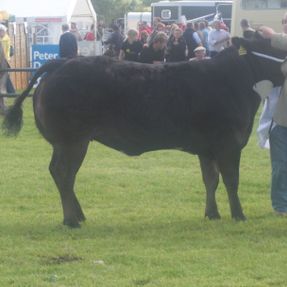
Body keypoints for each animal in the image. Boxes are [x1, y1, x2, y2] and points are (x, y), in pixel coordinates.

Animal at [2, 37, 287, 228]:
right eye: (277, 46)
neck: (235, 80)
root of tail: (60, 64)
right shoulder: (229, 143)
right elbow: (231, 180)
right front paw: (239, 215)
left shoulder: (207, 148)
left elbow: (211, 180)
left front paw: (212, 214)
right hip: (72, 141)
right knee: (63, 173)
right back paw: (72, 220)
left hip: (67, 142)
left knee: (61, 174)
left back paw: (79, 215)